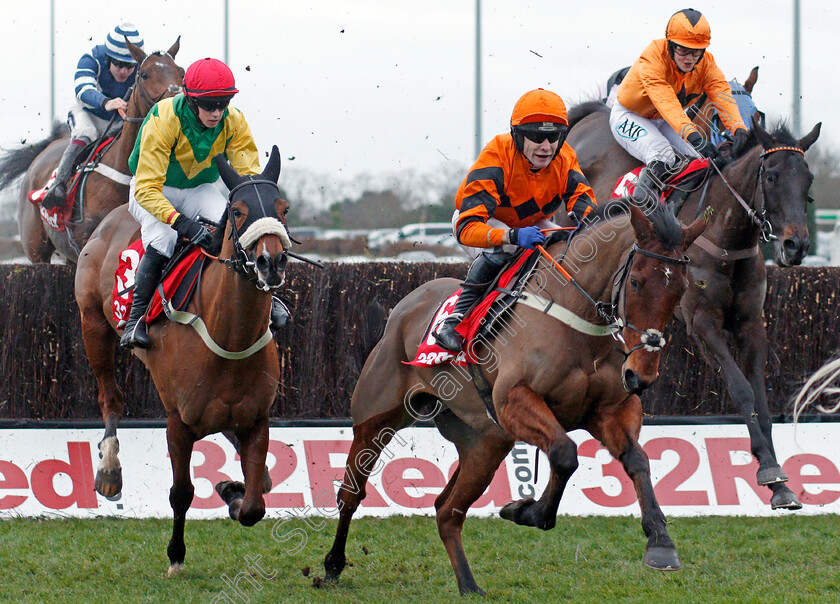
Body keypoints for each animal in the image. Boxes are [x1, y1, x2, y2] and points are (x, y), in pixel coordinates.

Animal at [75, 147, 292, 576]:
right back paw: (109, 470)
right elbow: (181, 492)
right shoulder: (177, 423)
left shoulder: (257, 419)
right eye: (238, 210)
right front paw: (176, 555)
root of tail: (109, 219)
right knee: (110, 398)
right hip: (93, 325)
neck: (229, 338)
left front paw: (230, 489)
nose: (270, 262)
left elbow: (256, 500)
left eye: (283, 208)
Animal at [324, 199, 704, 596]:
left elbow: (637, 459)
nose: (640, 375)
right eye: (635, 281)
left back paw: (469, 586)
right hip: (376, 418)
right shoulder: (513, 400)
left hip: (484, 444)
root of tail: (402, 308)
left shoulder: (610, 409)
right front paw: (525, 511)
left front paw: (660, 541)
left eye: (680, 289)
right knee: (351, 493)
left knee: (448, 510)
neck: (577, 316)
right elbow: (565, 454)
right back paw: (332, 565)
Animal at [564, 98, 820, 510]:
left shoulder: (751, 323)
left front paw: (780, 483)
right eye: (771, 176)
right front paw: (767, 469)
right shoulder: (701, 321)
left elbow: (761, 396)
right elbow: (741, 388)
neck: (726, 239)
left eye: (808, 180)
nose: (796, 246)